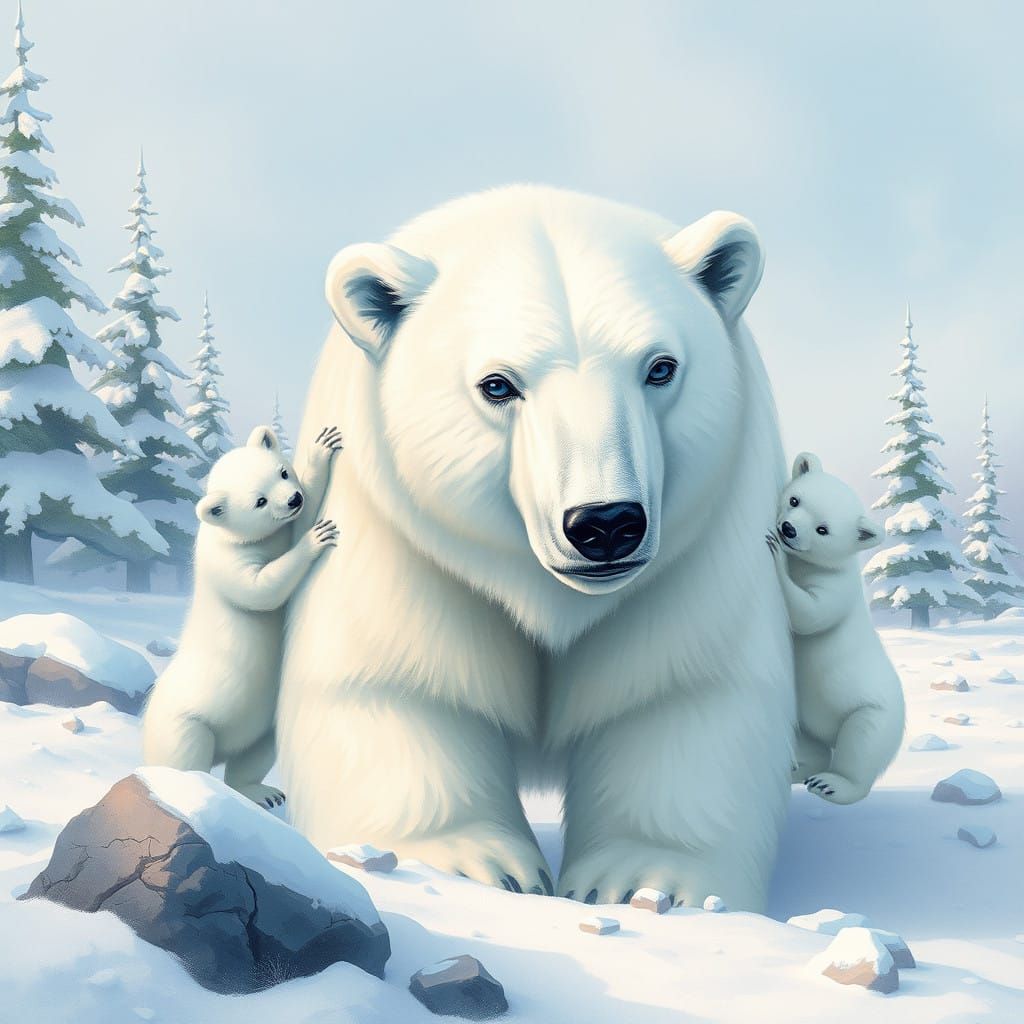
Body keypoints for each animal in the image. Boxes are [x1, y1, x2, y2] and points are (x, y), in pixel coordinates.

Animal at [142, 424, 342, 808]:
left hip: (262, 720)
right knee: (186, 753)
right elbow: (262, 589)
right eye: (259, 501)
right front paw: (316, 537)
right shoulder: (230, 561)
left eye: (282, 472)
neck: (229, 534)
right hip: (185, 722)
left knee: (257, 751)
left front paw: (322, 447)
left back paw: (260, 792)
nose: (293, 500)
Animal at [277, 186, 796, 911]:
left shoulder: (698, 556)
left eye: (660, 367)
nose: (605, 523)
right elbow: (398, 683)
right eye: (498, 384)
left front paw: (639, 881)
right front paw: (468, 864)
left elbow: (679, 691)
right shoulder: (397, 544)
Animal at [766, 452, 905, 805]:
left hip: (872, 712)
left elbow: (810, 614)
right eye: (795, 499)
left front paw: (776, 557)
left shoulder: (836, 587)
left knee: (861, 746)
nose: (788, 529)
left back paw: (831, 784)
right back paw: (797, 769)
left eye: (823, 529)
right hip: (802, 715)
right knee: (809, 742)